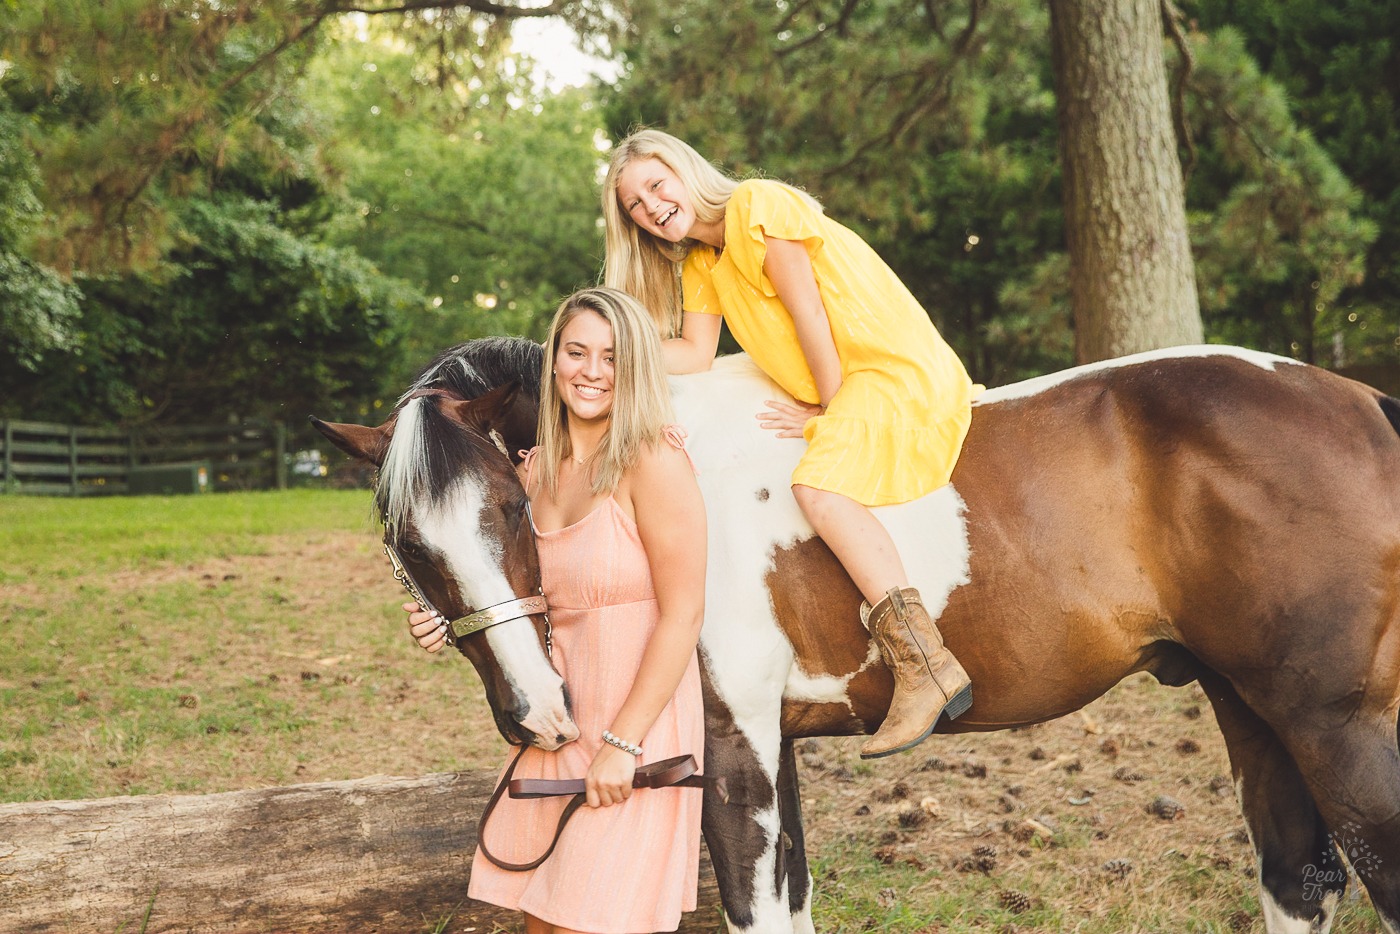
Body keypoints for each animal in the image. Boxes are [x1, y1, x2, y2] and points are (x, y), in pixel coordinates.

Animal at [317, 340, 1400, 934]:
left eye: (511, 506)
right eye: (405, 541)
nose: (535, 711)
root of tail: (1361, 404)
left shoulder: (733, 750)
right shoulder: (777, 744)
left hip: (1335, 729)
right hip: (1254, 713)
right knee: (1298, 884)